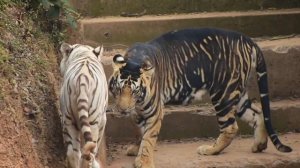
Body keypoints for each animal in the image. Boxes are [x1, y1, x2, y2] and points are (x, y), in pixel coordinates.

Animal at [109, 27, 292, 168]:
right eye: (118, 90)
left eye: (134, 92)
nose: (123, 110)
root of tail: (248, 40)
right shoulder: (138, 112)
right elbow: (140, 131)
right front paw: (136, 149)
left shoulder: (154, 111)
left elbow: (148, 138)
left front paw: (144, 161)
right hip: (238, 95)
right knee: (257, 111)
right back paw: (259, 145)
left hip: (223, 93)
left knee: (230, 127)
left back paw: (210, 150)